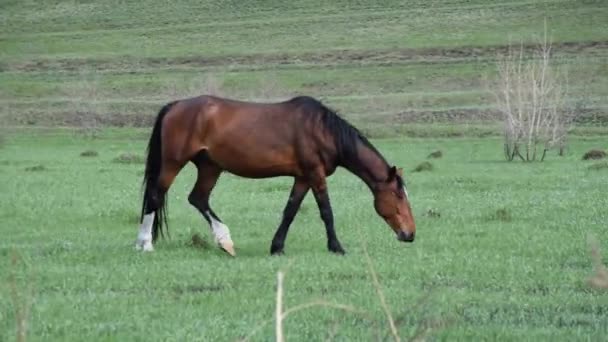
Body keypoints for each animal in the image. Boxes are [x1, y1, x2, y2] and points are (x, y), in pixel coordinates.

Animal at [135, 95, 416, 255]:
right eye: (398, 196)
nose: (410, 234)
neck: (322, 129)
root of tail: (175, 106)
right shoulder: (315, 174)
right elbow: (326, 211)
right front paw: (336, 247)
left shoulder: (303, 177)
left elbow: (290, 211)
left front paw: (277, 247)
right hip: (174, 163)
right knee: (155, 197)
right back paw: (145, 243)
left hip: (210, 166)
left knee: (198, 198)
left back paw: (225, 241)